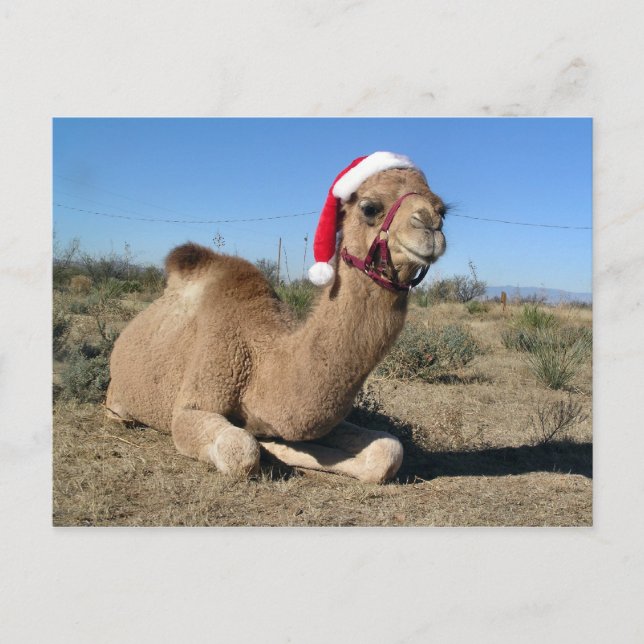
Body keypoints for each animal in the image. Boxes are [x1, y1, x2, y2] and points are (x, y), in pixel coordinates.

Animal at [106, 153, 447, 482]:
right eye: (370, 207)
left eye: (442, 209)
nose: (430, 225)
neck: (261, 361)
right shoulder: (193, 401)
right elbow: (242, 448)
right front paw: (269, 445)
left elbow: (388, 450)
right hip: (118, 398)